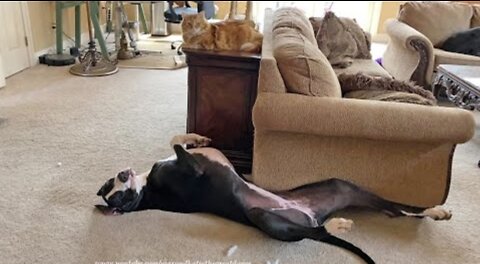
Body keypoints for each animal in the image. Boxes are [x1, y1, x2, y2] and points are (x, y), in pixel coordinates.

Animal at [98, 134, 454, 264]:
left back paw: (436, 211)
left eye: (111, 187)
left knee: (397, 210)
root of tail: (310, 213)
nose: (124, 174)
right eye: (119, 198)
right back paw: (337, 226)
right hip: (266, 218)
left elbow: (179, 140)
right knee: (313, 233)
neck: (147, 189)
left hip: (343, 185)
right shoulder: (194, 171)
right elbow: (178, 147)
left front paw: (194, 138)